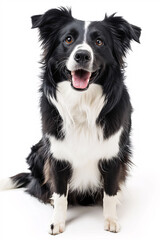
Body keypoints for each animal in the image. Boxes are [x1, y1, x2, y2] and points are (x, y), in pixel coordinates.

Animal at [1, 7, 141, 234]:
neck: (82, 103)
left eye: (99, 42)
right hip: (37, 152)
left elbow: (110, 192)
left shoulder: (113, 154)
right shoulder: (57, 156)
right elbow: (60, 195)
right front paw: (57, 222)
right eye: (68, 39)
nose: (82, 55)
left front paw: (111, 219)